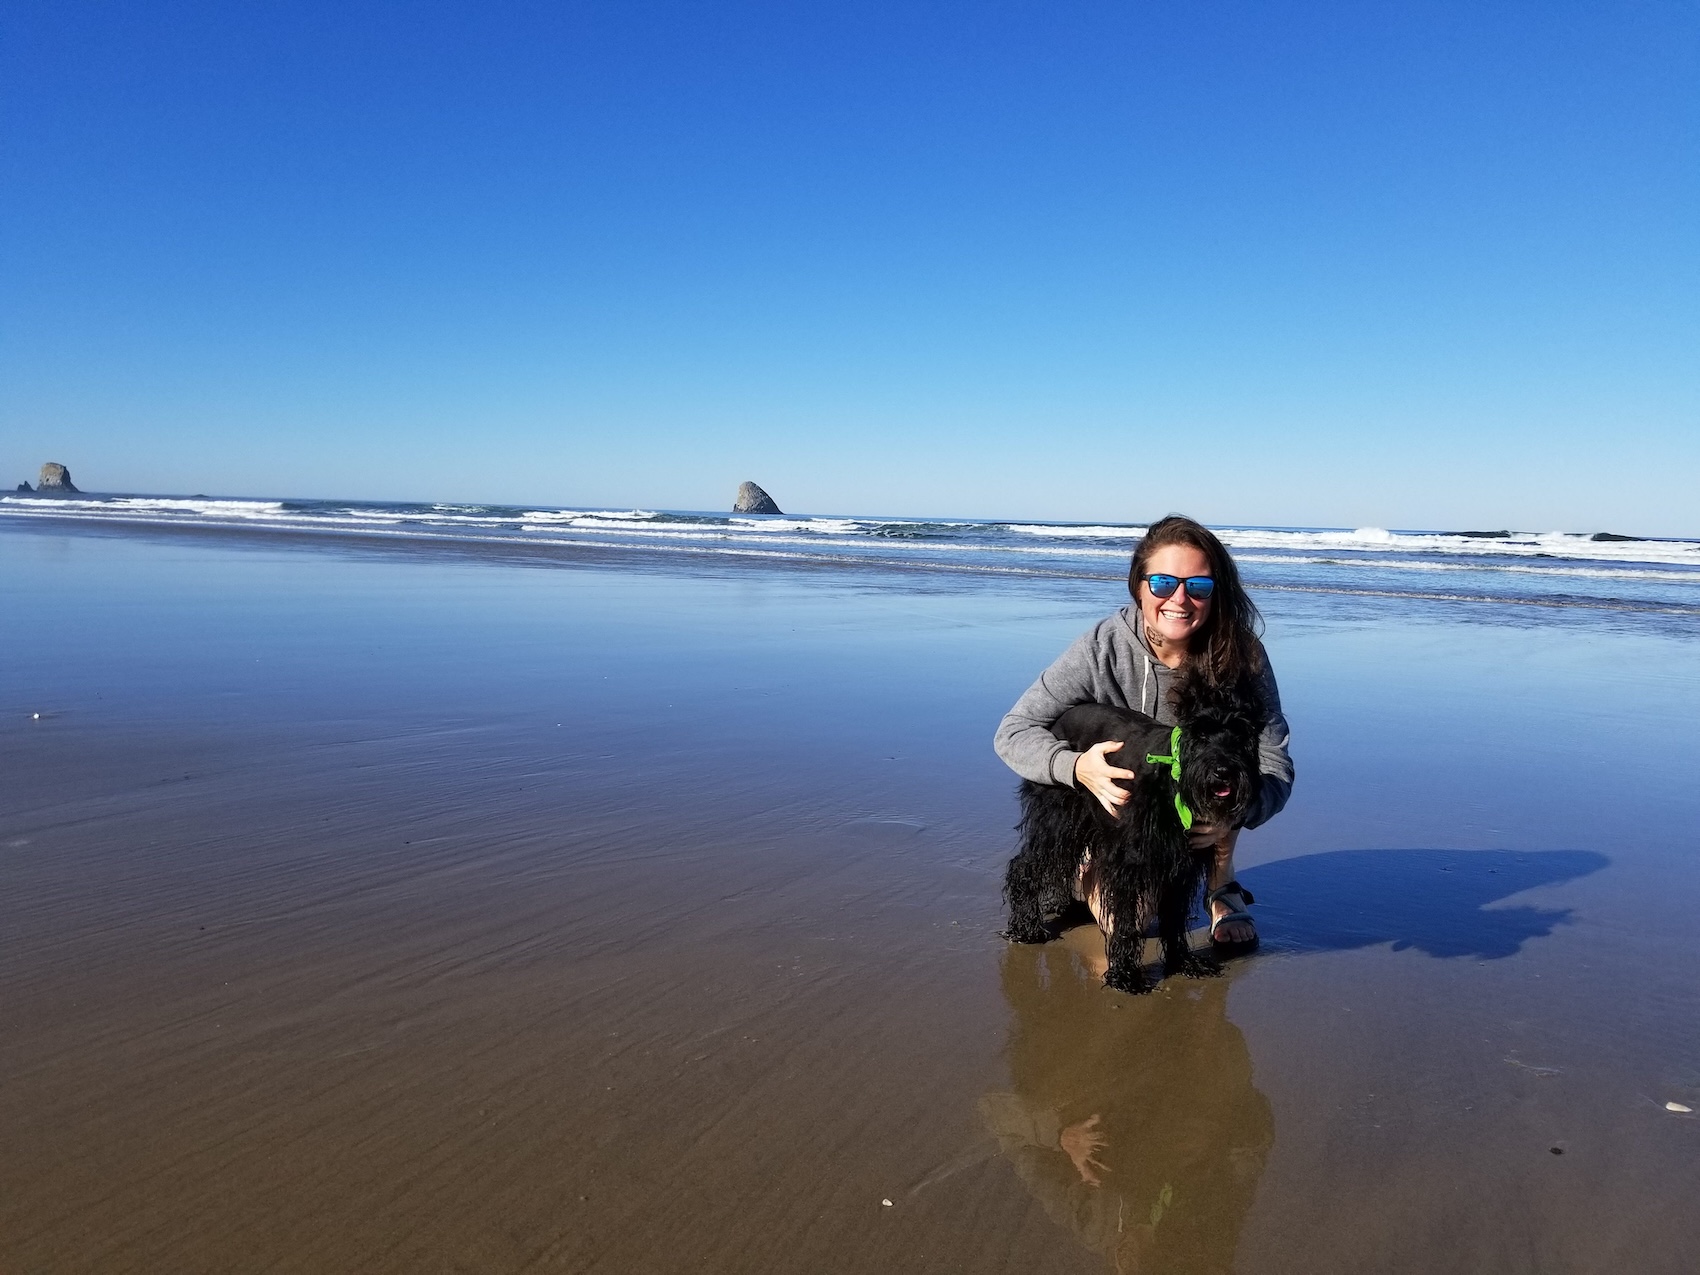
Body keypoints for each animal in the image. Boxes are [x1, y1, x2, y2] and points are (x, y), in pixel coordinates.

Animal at [1006, 680, 1264, 999]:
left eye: (1241, 735)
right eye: (1201, 735)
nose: (1223, 772)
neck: (1173, 774)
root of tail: (1057, 722)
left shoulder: (1180, 867)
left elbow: (1174, 917)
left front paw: (1182, 961)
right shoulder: (1129, 862)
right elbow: (1127, 920)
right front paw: (1125, 975)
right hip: (1058, 821)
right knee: (1025, 866)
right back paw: (1026, 928)